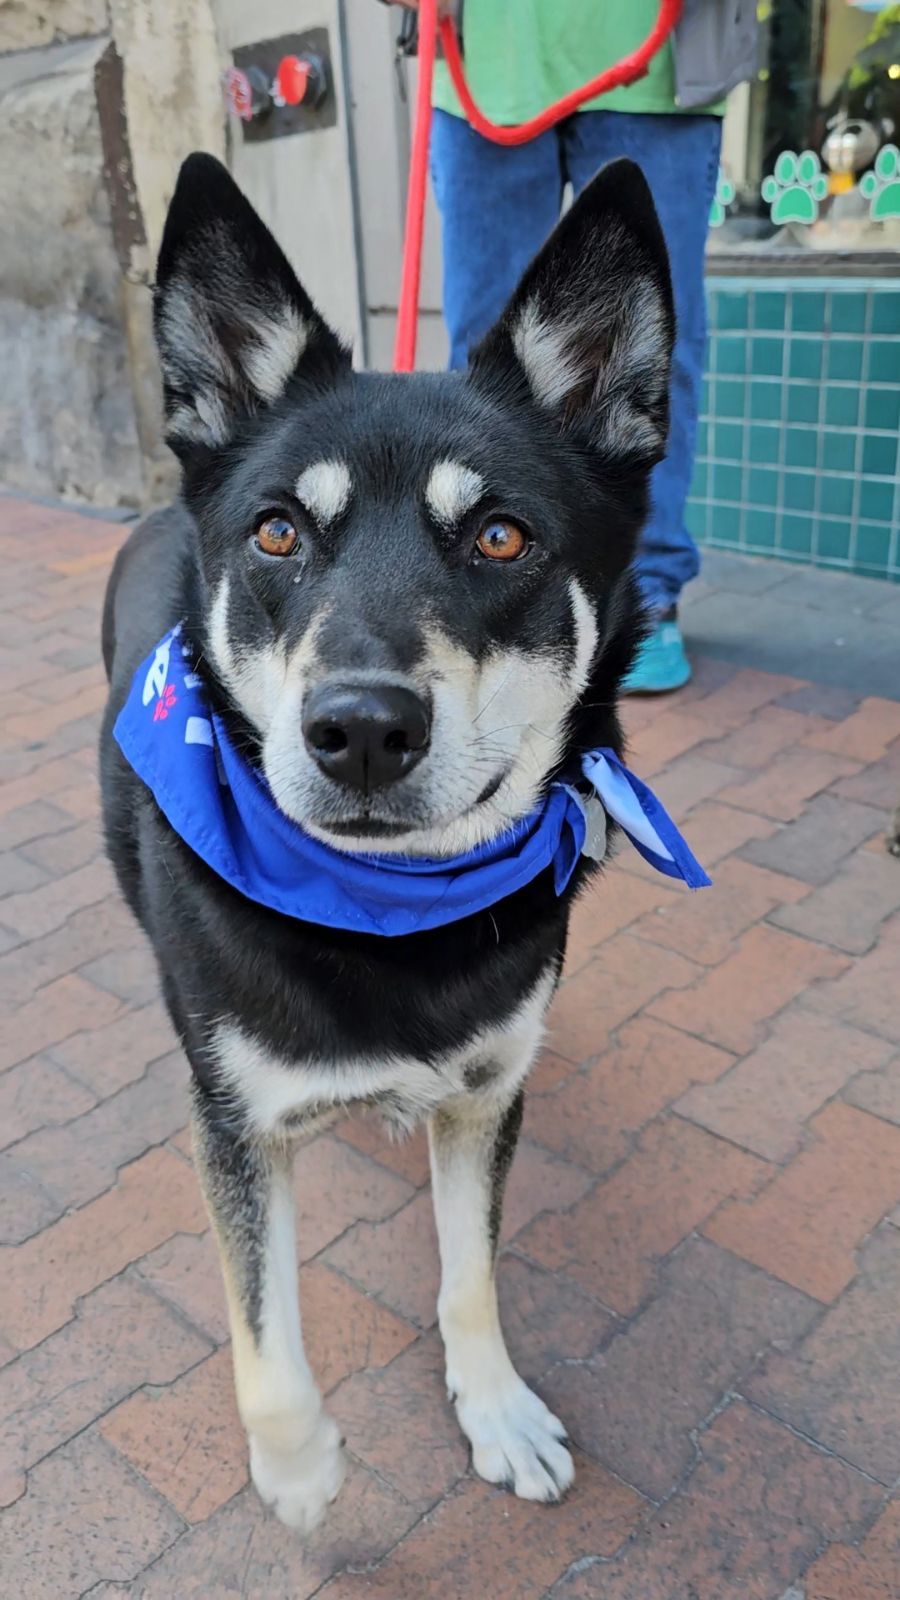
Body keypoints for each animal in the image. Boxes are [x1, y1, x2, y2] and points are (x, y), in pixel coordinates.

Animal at [101, 156, 669, 1529]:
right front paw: (299, 1468)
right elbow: (264, 1335)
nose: (359, 730)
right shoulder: (236, 1128)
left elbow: (472, 1269)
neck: (384, 904)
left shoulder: (490, 1091)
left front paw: (496, 1407)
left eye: (503, 536)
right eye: (277, 533)